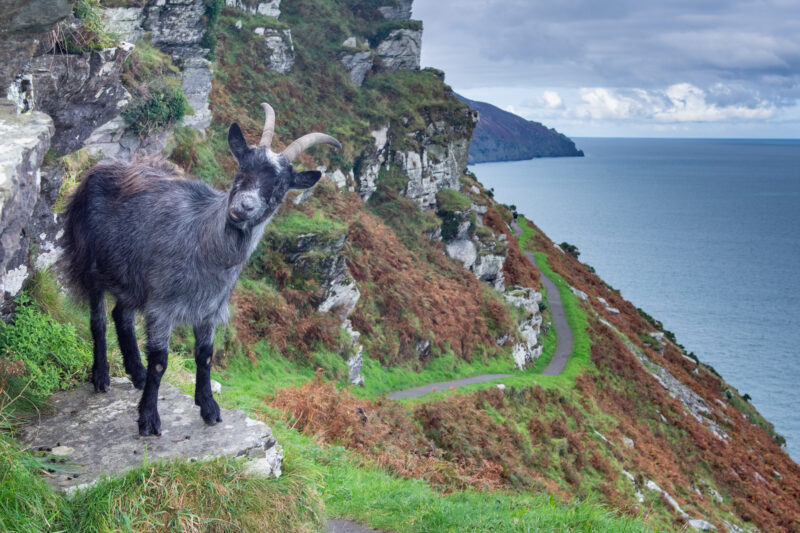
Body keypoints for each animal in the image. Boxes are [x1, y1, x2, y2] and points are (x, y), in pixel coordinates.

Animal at [60, 105, 340, 436]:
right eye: (242, 171)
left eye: (280, 186)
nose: (242, 208)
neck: (204, 244)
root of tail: (97, 170)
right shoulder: (162, 305)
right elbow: (160, 361)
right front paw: (148, 418)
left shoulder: (209, 309)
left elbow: (205, 357)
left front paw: (209, 408)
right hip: (92, 262)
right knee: (99, 320)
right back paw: (101, 376)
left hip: (131, 277)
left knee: (122, 316)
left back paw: (137, 373)